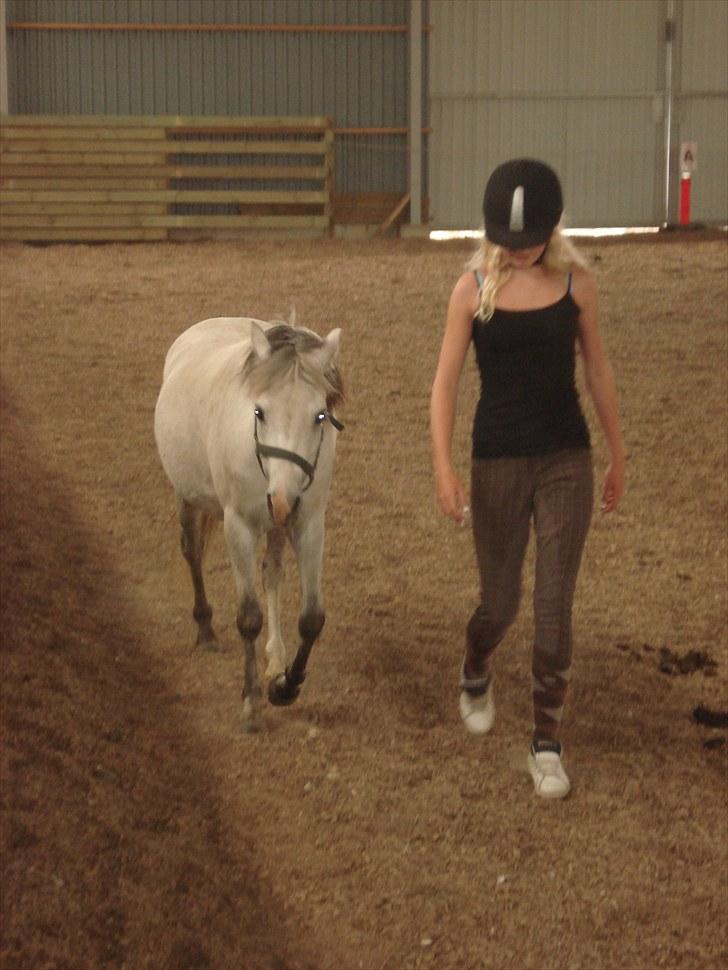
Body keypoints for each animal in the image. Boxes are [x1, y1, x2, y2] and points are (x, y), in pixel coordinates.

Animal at [154, 316, 344, 732]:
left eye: (320, 415)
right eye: (259, 412)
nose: (285, 498)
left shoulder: (307, 523)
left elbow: (311, 618)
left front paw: (285, 685)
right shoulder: (238, 525)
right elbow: (248, 617)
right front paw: (252, 701)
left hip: (275, 525)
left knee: (272, 573)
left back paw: (275, 656)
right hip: (186, 496)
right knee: (192, 552)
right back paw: (206, 628)